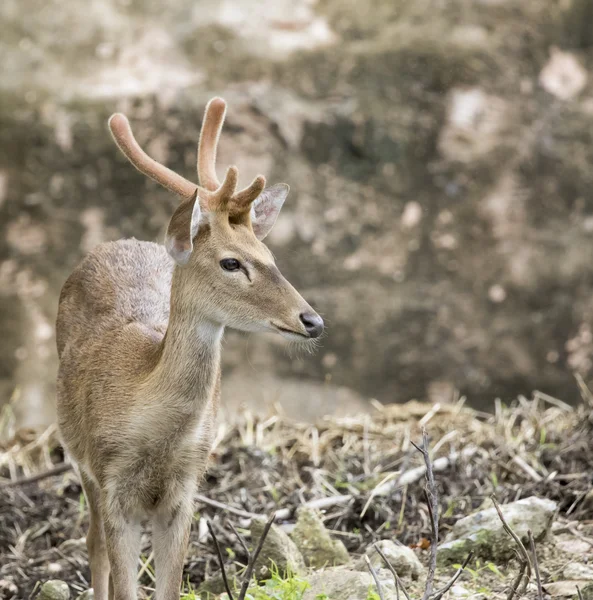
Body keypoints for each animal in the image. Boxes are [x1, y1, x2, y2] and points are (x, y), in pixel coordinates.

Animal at [55, 98, 324, 600]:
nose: (312, 321)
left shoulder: (185, 491)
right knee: (93, 543)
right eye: (231, 262)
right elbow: (121, 580)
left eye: (271, 258)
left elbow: (170, 588)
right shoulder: (111, 481)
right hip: (78, 457)